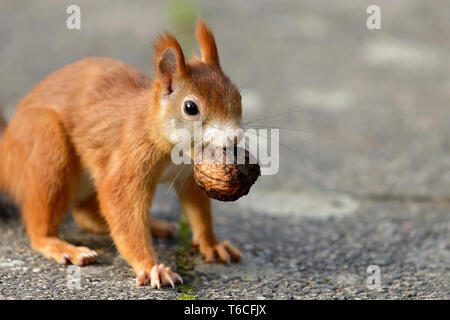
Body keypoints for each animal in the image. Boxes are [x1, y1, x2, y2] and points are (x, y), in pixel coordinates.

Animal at [0, 18, 246, 288]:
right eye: (191, 108)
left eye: (238, 96)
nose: (235, 137)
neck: (176, 149)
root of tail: (5, 151)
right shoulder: (130, 157)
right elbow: (121, 204)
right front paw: (151, 267)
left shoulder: (188, 175)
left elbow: (199, 211)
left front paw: (212, 244)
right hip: (46, 144)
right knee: (40, 227)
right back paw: (63, 247)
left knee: (86, 214)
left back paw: (155, 225)